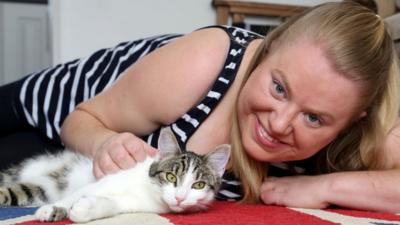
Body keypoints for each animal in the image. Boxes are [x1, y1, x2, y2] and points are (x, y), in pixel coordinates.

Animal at [0, 126, 231, 223]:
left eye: (198, 185)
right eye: (171, 177)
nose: (180, 197)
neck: (148, 189)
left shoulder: (136, 204)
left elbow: (113, 205)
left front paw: (85, 209)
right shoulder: (104, 181)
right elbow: (76, 194)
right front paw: (54, 209)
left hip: (40, 188)